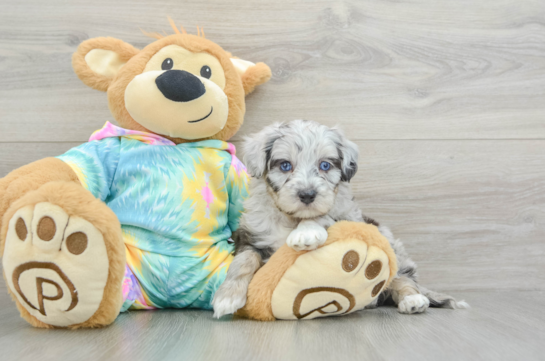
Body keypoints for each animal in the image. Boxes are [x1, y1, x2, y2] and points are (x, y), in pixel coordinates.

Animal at [210, 119, 466, 316]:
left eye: (325, 165)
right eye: (285, 165)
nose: (307, 195)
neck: (292, 219)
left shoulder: (348, 215)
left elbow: (325, 216)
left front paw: (306, 232)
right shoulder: (250, 237)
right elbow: (243, 262)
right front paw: (227, 297)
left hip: (391, 245)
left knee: (403, 278)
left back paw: (412, 300)